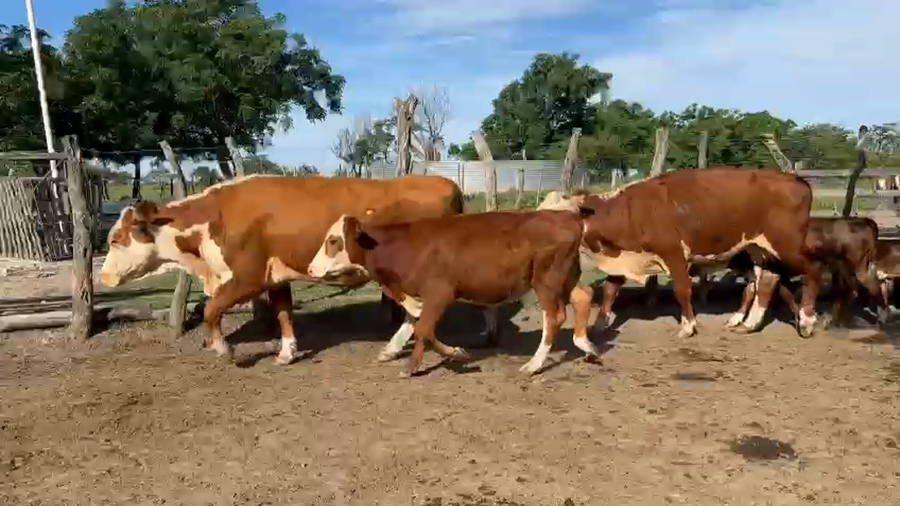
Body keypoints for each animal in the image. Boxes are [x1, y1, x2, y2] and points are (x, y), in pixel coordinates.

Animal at [98, 173, 470, 365]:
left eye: (116, 238)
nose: (103, 276)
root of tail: (445, 182)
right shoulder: (274, 276)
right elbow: (283, 312)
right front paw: (287, 352)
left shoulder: (245, 278)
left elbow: (211, 309)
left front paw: (224, 349)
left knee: (418, 310)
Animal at [306, 209, 598, 377]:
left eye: (333, 240)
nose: (310, 268)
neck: (405, 246)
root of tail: (569, 216)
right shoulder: (418, 296)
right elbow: (414, 323)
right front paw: (397, 353)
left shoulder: (440, 292)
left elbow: (424, 329)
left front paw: (454, 354)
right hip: (565, 279)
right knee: (583, 296)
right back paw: (587, 347)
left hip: (546, 280)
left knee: (554, 317)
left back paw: (534, 365)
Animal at [552, 167, 823, 340]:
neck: (633, 211)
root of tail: (794, 179)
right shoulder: (626, 256)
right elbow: (610, 290)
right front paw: (599, 324)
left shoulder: (673, 254)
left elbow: (682, 290)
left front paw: (688, 326)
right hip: (758, 248)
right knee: (766, 280)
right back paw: (749, 324)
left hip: (787, 246)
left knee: (813, 271)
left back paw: (807, 320)